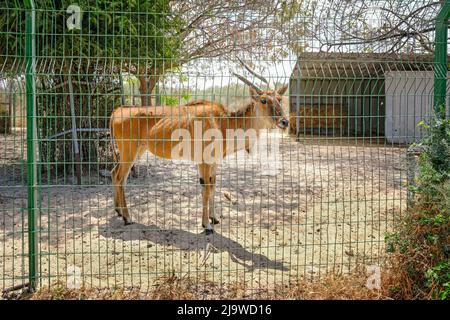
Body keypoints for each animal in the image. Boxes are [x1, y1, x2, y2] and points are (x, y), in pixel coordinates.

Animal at [110, 65, 290, 235]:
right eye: (264, 100)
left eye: (279, 98)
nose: (284, 121)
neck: (223, 122)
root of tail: (117, 111)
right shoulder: (204, 162)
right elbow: (206, 188)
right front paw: (207, 225)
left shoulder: (214, 163)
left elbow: (213, 185)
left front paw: (214, 218)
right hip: (130, 151)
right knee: (120, 177)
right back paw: (127, 218)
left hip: (136, 150)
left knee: (114, 172)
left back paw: (118, 211)